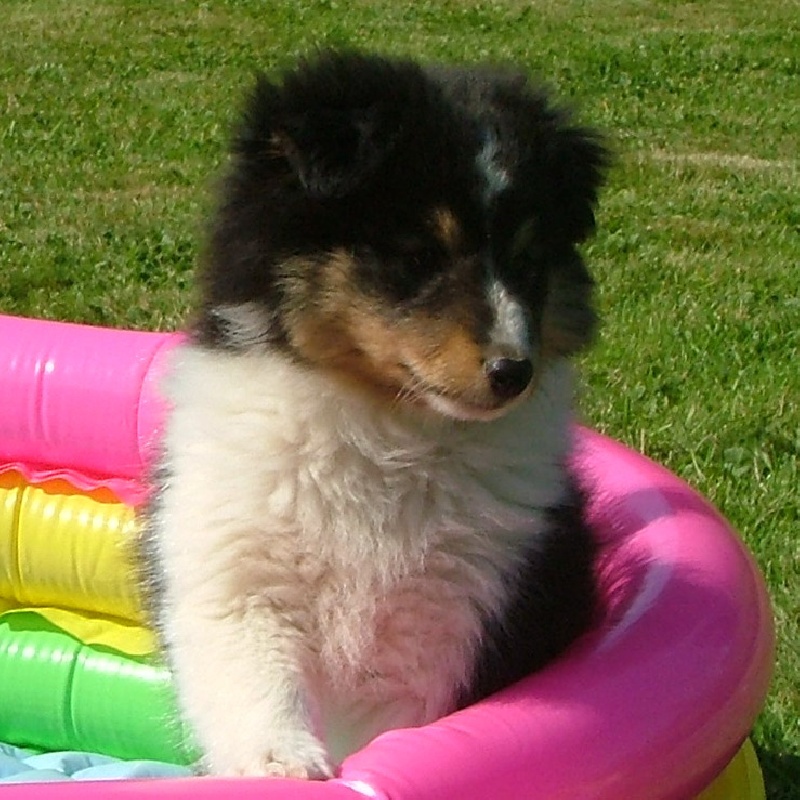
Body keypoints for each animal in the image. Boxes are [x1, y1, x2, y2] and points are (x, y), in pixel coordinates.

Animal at [141, 50, 607, 779]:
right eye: (416, 255)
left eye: (530, 261)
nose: (513, 372)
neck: (385, 430)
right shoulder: (236, 573)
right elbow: (252, 684)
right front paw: (284, 765)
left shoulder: (454, 615)